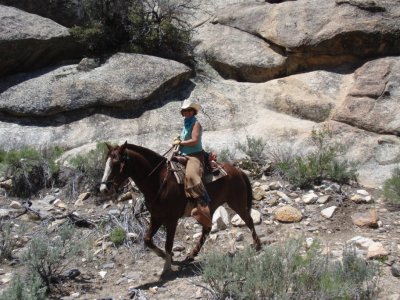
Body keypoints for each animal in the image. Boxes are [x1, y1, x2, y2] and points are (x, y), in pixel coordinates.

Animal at [100, 142, 262, 276]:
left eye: (116, 163)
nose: (103, 189)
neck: (158, 180)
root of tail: (238, 171)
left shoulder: (171, 220)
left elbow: (168, 244)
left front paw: (166, 267)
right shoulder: (156, 217)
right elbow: (147, 239)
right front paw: (167, 257)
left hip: (237, 203)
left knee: (249, 220)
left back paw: (258, 245)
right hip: (211, 206)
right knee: (207, 229)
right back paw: (191, 255)